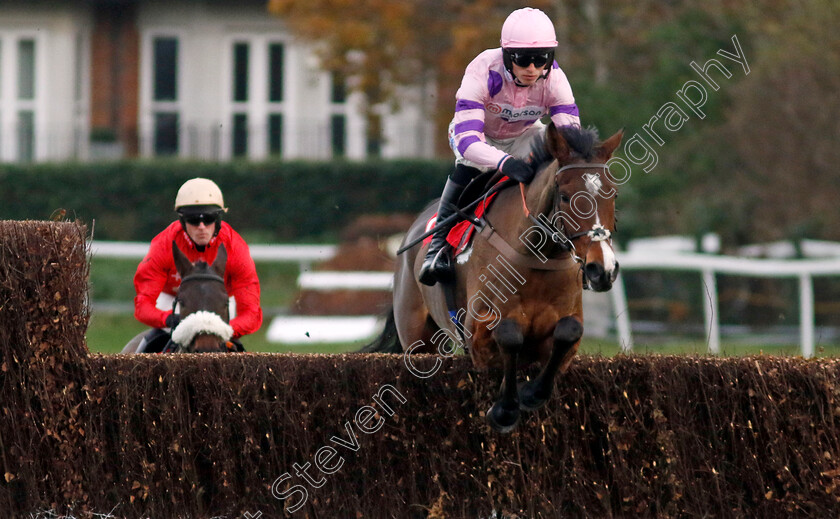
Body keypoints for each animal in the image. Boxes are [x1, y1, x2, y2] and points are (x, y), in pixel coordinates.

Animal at [370, 124, 624, 432]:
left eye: (613, 194)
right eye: (565, 196)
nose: (603, 269)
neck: (536, 256)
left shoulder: (568, 323)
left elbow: (568, 332)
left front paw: (532, 393)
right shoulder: (477, 329)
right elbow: (509, 335)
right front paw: (505, 409)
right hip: (418, 339)